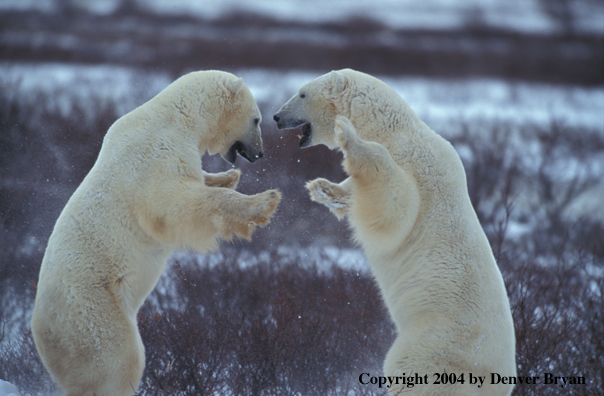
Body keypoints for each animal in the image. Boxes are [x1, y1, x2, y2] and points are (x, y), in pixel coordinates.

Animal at [30, 69, 280, 394]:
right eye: (257, 119)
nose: (259, 153)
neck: (178, 117)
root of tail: (39, 331)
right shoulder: (153, 155)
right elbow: (172, 205)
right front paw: (265, 201)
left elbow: (198, 180)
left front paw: (226, 176)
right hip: (92, 313)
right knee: (117, 361)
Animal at [274, 69, 516, 394]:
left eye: (302, 94)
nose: (276, 117)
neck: (398, 131)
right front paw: (324, 189)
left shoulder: (421, 171)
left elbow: (396, 209)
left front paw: (347, 133)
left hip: (437, 344)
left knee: (407, 366)